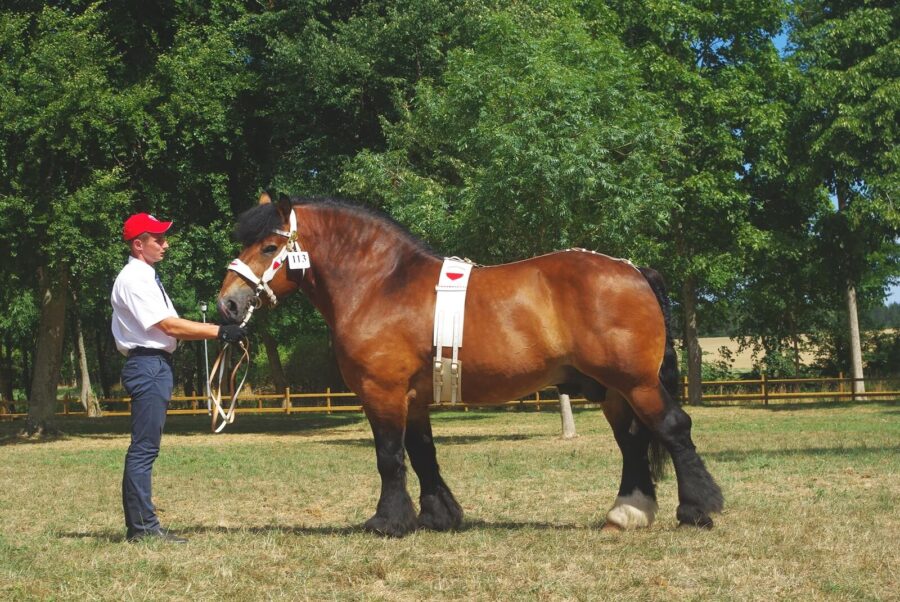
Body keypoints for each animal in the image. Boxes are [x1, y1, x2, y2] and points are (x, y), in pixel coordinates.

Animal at [218, 196, 724, 536]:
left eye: (268, 248)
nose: (228, 303)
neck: (382, 285)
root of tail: (633, 270)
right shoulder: (414, 398)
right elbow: (423, 454)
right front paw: (439, 516)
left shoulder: (383, 392)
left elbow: (389, 457)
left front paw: (388, 521)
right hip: (613, 390)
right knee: (633, 442)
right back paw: (626, 512)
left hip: (635, 383)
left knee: (673, 428)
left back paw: (698, 510)